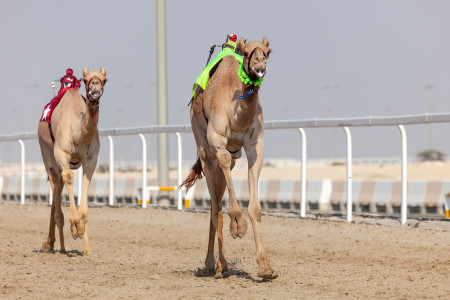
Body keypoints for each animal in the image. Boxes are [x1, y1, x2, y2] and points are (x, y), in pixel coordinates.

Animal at [37, 66, 106, 255]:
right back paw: (59, 247)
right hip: (48, 155)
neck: (78, 133)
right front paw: (74, 227)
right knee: (56, 182)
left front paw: (84, 240)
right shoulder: (62, 153)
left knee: (58, 186)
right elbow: (69, 178)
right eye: (85, 80)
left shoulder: (91, 160)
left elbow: (85, 184)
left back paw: (52, 243)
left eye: (105, 79)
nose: (95, 87)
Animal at [180, 37, 278, 278]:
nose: (259, 67)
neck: (238, 117)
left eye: (268, 51)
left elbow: (256, 209)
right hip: (204, 150)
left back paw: (217, 264)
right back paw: (216, 264)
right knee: (215, 206)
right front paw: (238, 226)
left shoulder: (254, 147)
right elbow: (224, 207)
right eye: (247, 52)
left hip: (232, 157)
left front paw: (265, 267)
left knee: (216, 200)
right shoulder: (218, 142)